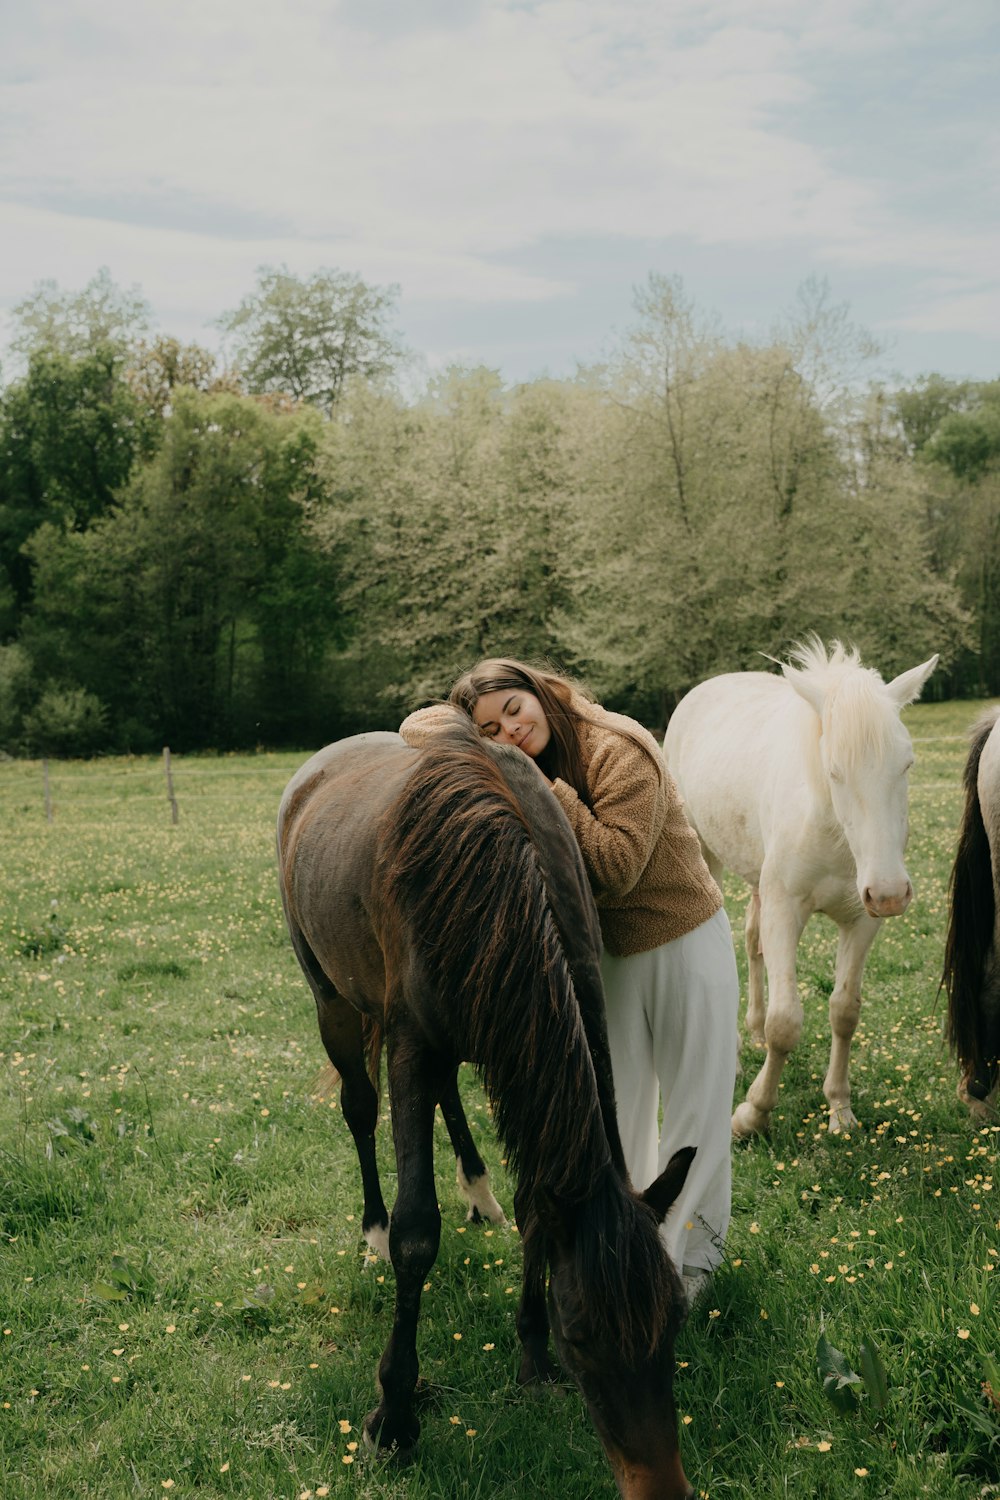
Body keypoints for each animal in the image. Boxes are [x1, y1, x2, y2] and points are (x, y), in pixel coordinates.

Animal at [274, 714, 695, 1500]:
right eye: (582, 1334)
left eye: (676, 1316)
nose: (661, 1489)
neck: (500, 872)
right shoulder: (410, 1044)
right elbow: (417, 1234)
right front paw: (395, 1416)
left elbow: (538, 1207)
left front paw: (530, 1359)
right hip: (334, 1003)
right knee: (359, 1110)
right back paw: (372, 1230)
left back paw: (478, 1191)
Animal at [665, 633, 941, 1134]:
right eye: (834, 771)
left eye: (907, 765)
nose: (890, 893)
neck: (832, 832)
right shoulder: (785, 910)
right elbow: (786, 1023)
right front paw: (751, 1114)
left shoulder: (861, 921)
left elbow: (844, 1011)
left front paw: (840, 1109)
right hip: (705, 858)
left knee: (752, 941)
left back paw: (752, 1031)